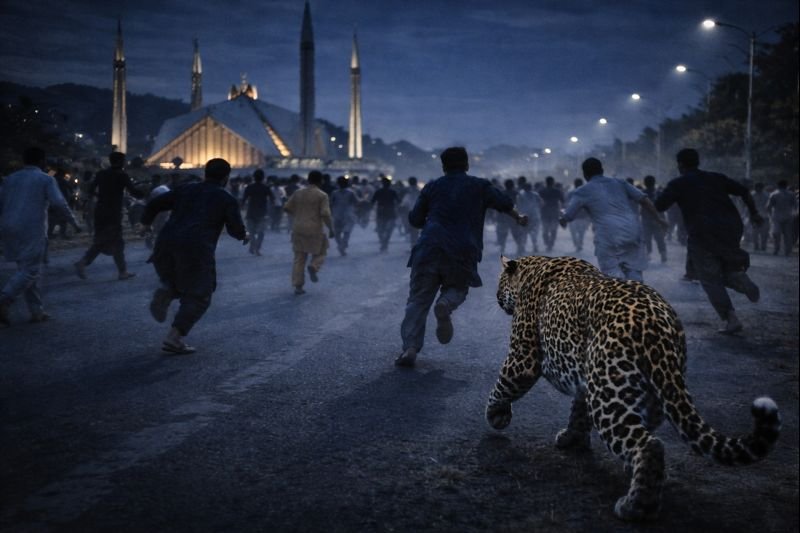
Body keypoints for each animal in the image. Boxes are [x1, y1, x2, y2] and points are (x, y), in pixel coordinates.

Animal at [485, 255, 781, 521]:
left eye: (500, 281)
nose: (497, 297)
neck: (534, 266)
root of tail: (657, 326)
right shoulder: (585, 377)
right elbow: (578, 411)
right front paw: (572, 439)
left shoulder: (524, 355)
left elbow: (504, 384)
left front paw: (497, 416)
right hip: (649, 390)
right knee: (646, 433)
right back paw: (640, 478)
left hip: (608, 393)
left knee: (649, 444)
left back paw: (635, 507)